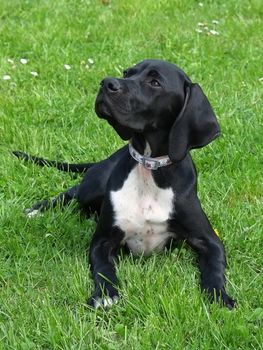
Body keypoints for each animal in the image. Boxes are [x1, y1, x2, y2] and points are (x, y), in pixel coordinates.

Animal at [14, 60, 236, 308]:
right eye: (127, 73)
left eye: (154, 82)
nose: (106, 83)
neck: (149, 169)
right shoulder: (102, 241)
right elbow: (104, 268)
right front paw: (105, 294)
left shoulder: (209, 241)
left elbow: (214, 269)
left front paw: (218, 295)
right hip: (92, 188)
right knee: (71, 192)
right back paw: (36, 210)